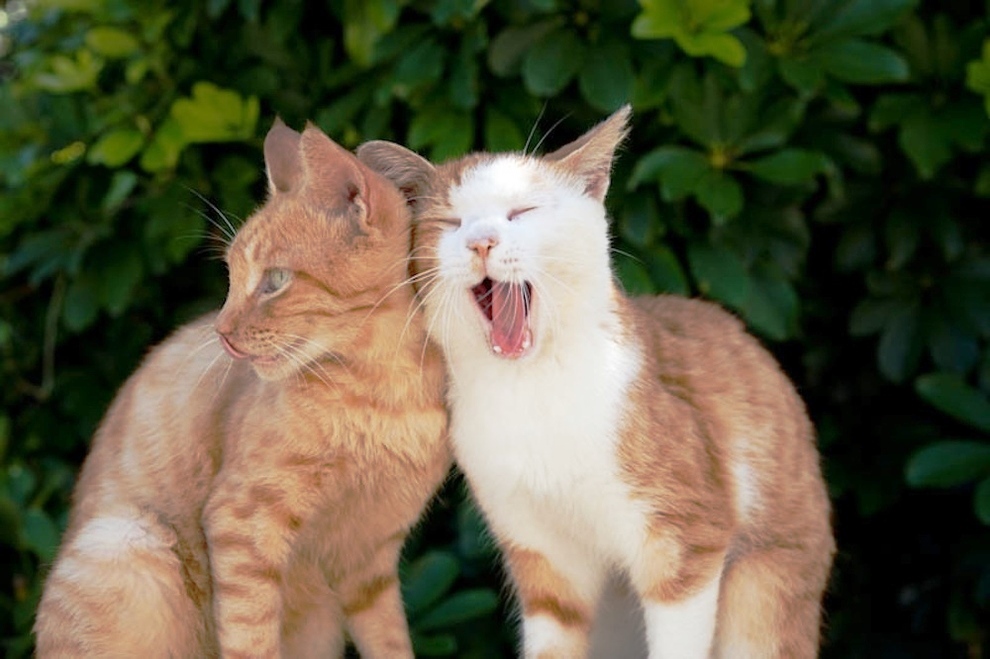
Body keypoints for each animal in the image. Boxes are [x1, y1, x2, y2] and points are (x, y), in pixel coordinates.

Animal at [34, 120, 454, 659]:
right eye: (231, 277)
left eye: (274, 280)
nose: (222, 332)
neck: (386, 392)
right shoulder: (242, 522)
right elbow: (250, 638)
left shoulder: (368, 557)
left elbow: (390, 642)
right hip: (125, 544)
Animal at [356, 105, 836, 656]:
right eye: (448, 222)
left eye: (523, 212)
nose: (481, 241)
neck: (532, 390)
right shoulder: (542, 557)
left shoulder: (687, 543)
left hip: (765, 590)